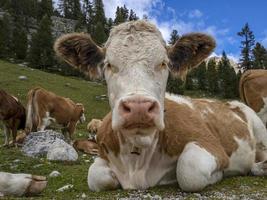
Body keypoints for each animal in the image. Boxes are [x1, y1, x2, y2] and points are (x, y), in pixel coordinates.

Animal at [53, 20, 267, 192]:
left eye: (164, 63)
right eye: (109, 64)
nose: (138, 108)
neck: (137, 162)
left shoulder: (212, 146)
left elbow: (189, 171)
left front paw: (217, 175)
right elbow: (96, 177)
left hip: (260, 130)